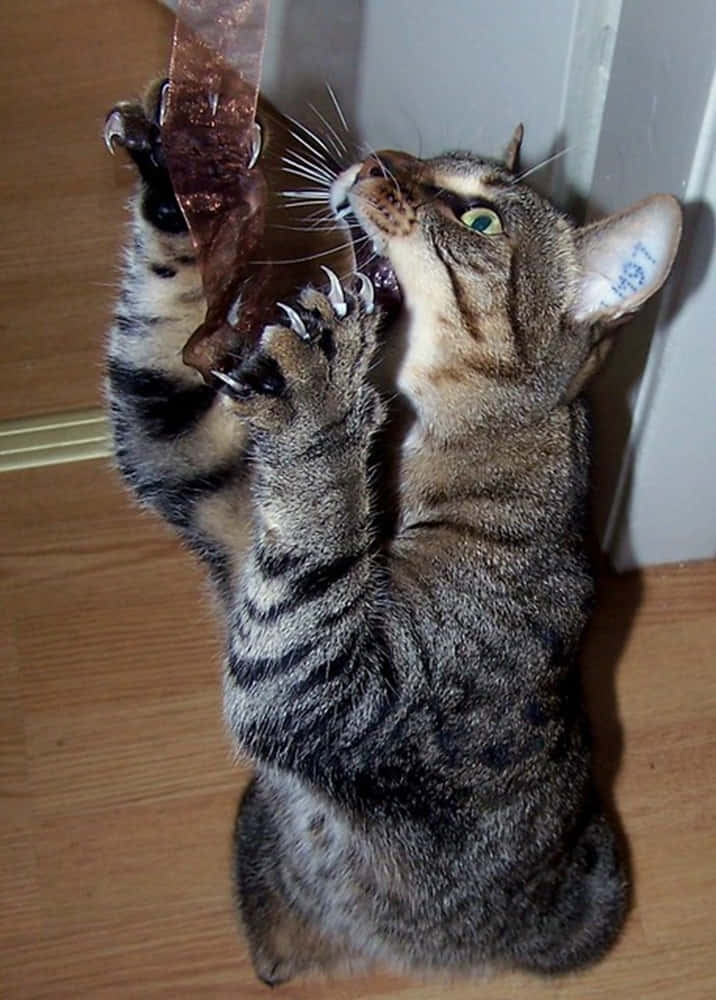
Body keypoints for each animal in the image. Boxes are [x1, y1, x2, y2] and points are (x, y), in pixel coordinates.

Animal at [103, 84, 680, 984]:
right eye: (422, 159)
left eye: (478, 218)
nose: (374, 160)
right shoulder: (197, 465)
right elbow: (162, 351)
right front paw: (177, 162)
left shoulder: (336, 689)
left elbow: (312, 529)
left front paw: (320, 399)